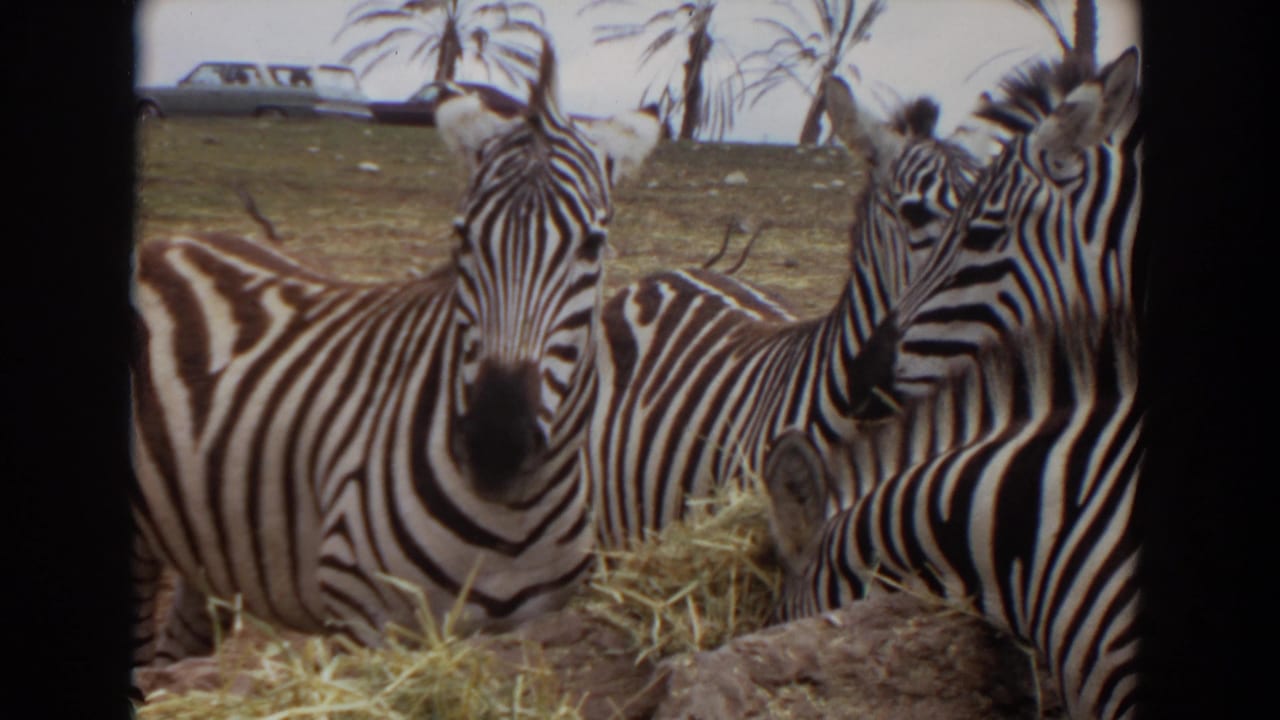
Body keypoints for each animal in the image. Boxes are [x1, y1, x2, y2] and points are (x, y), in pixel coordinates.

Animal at [129, 41, 661, 675]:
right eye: (462, 237)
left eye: (593, 245)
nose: (495, 447)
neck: (511, 522)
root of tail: (167, 242)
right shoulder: (367, 626)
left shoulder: (534, 624)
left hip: (205, 546)